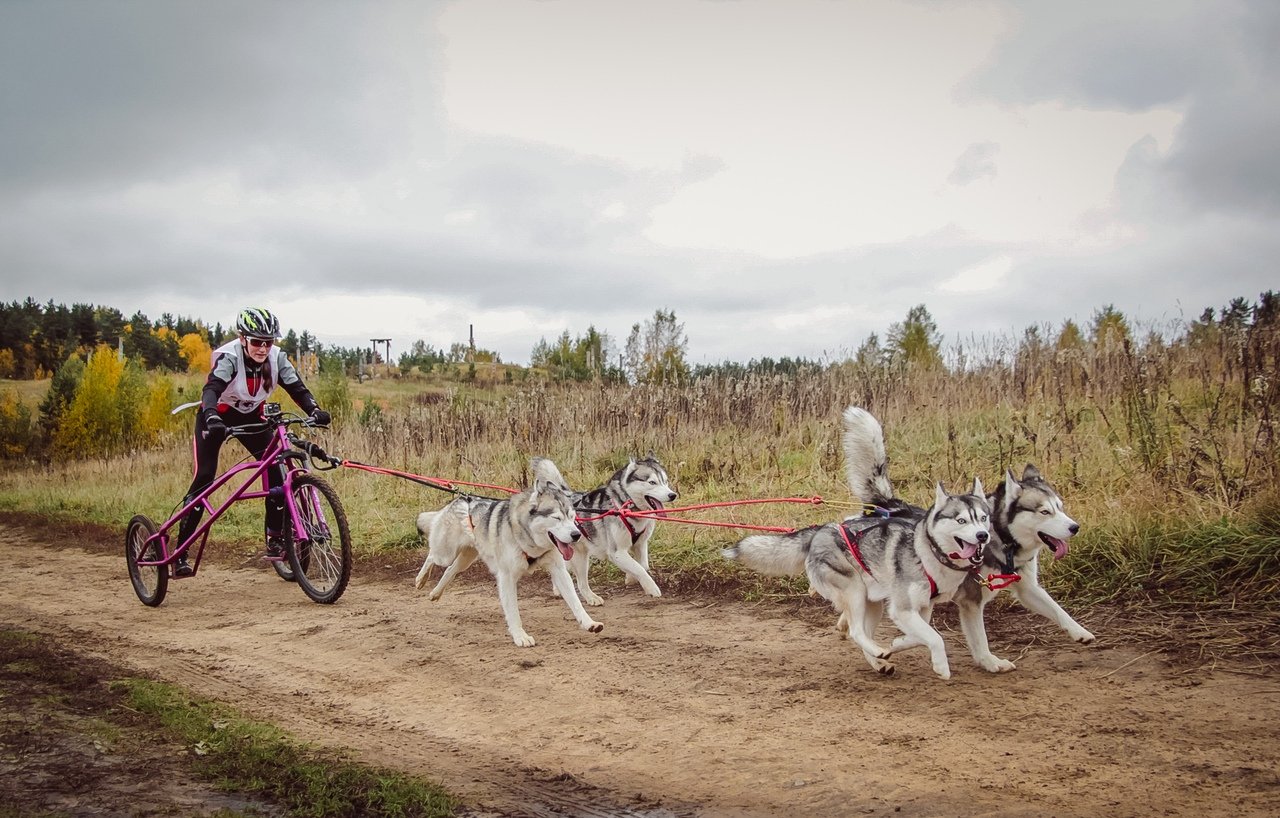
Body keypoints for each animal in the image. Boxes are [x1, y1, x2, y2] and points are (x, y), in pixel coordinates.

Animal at [412, 459, 604, 647]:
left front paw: (589, 623)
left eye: (572, 517)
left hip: (466, 558)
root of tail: (462, 499)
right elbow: (513, 612)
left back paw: (436, 593)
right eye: (557, 518)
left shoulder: (559, 571)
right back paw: (421, 579)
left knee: (450, 570)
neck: (529, 540)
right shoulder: (507, 577)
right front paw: (520, 636)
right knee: (432, 556)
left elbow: (575, 602)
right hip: (445, 553)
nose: (576, 535)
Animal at [536, 455, 676, 606]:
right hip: (579, 559)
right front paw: (651, 587)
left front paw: (630, 577)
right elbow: (638, 568)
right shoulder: (616, 552)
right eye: (652, 482)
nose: (672, 495)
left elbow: (642, 566)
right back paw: (590, 597)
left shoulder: (640, 544)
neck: (625, 508)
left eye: (665, 481)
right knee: (580, 583)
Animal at [722, 478, 990, 679]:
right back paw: (876, 652)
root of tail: (820, 530)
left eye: (983, 518)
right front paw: (941, 666)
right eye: (961, 520)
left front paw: (899, 642)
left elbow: (919, 636)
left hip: (873, 602)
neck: (927, 552)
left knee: (863, 633)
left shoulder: (923, 607)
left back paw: (879, 660)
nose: (983, 535)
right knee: (856, 632)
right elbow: (935, 637)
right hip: (855, 591)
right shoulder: (902, 609)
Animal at [841, 406, 1094, 674]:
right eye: (1045, 511)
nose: (1075, 527)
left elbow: (1057, 609)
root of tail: (886, 504)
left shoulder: (1027, 588)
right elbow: (978, 638)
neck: (1001, 540)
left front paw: (1080, 632)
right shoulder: (971, 600)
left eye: (1060, 507)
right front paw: (990, 661)